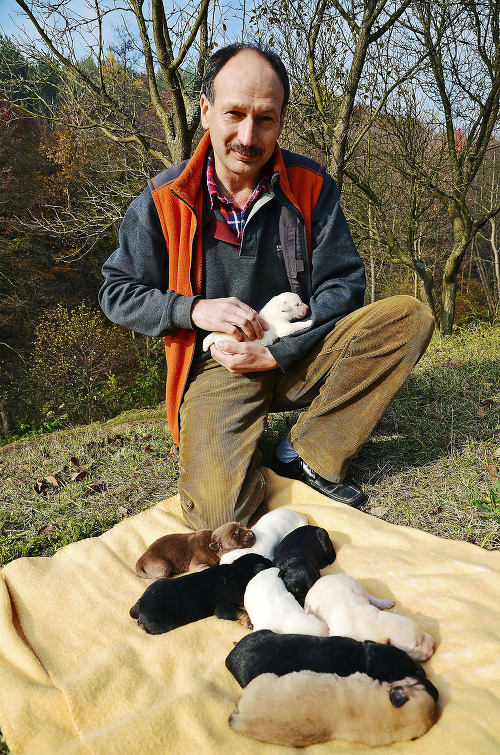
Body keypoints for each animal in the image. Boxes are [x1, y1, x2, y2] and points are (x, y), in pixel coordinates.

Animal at [128, 552, 270, 636]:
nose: (272, 560)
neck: (237, 571)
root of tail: (139, 605)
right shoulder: (224, 607)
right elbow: (241, 612)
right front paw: (249, 622)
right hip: (161, 623)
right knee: (143, 626)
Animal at [304, 576, 434, 664]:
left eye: (420, 630)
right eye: (416, 645)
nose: (433, 643)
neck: (377, 624)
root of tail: (319, 580)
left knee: (370, 597)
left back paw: (384, 602)